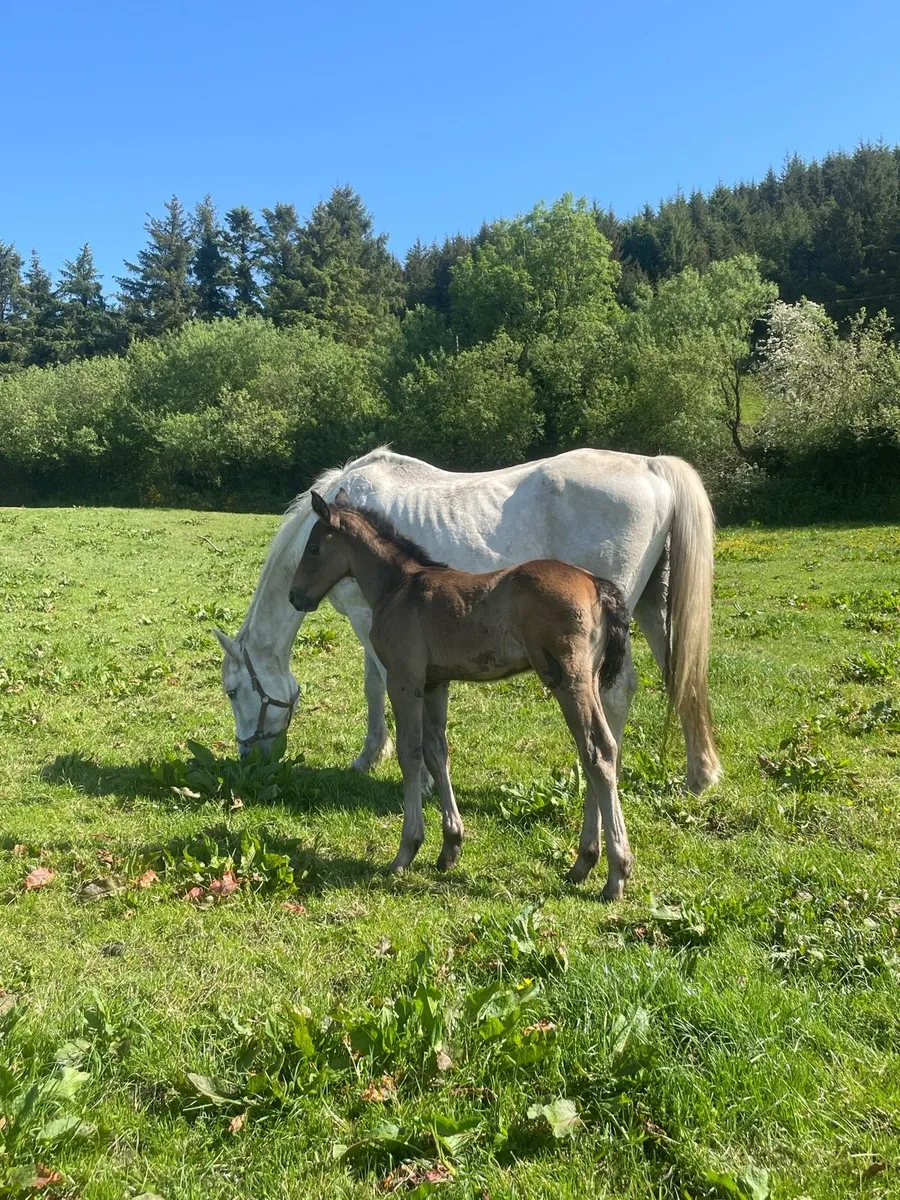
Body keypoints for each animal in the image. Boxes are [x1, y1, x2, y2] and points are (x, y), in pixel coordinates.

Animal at [213, 446, 721, 793]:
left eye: (233, 691)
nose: (249, 757)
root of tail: (652, 466)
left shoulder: (365, 619)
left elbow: (375, 685)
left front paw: (382, 761)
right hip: (652, 606)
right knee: (684, 677)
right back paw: (700, 775)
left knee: (616, 692)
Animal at [289, 489, 635, 898]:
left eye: (313, 547)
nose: (296, 596)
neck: (398, 588)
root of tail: (595, 583)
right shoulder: (435, 684)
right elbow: (437, 752)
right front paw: (450, 846)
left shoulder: (404, 680)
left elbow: (410, 753)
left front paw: (406, 851)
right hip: (588, 680)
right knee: (598, 750)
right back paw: (583, 863)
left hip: (569, 680)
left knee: (596, 752)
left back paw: (615, 873)